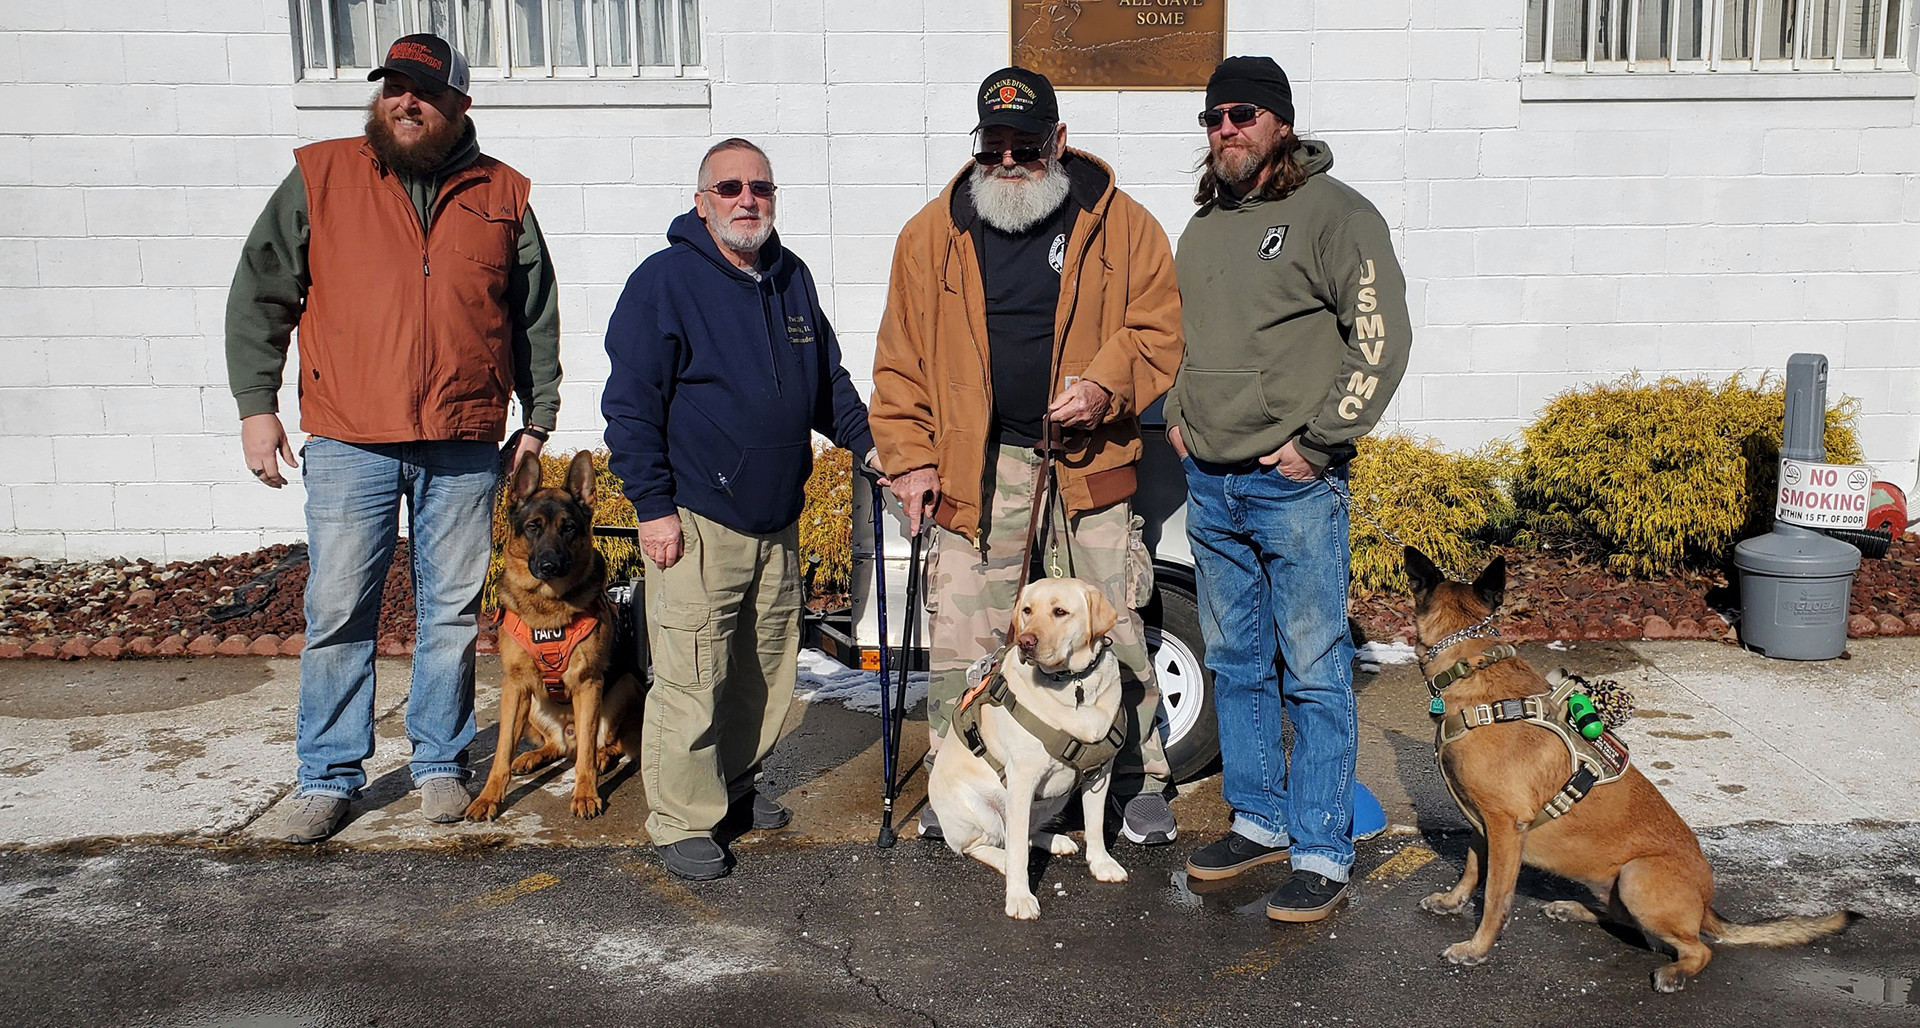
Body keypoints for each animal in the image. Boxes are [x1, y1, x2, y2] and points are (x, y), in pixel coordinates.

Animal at [466, 449, 641, 822]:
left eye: (568, 528)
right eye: (533, 528)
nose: (549, 566)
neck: (547, 607)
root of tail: (567, 731)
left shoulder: (588, 682)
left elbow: (585, 757)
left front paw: (586, 794)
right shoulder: (514, 685)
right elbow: (501, 752)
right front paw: (489, 797)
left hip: (624, 687)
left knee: (599, 744)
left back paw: (603, 755)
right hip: (532, 703)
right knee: (557, 746)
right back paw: (533, 755)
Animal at [925, 580, 1121, 926]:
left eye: (1060, 612)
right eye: (1027, 610)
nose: (1025, 641)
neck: (1073, 682)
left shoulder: (1099, 771)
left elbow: (1096, 824)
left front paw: (1101, 863)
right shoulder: (1022, 779)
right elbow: (1017, 852)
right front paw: (1019, 897)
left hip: (1053, 798)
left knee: (1026, 831)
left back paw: (1055, 840)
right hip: (979, 809)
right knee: (988, 843)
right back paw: (1003, 859)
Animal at [1405, 545, 1850, 991]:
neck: (1472, 669)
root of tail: (1706, 904)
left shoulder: (1505, 826)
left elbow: (1496, 898)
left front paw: (1476, 948)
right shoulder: (1482, 824)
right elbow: (1471, 868)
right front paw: (1453, 901)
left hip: (1638, 877)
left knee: (1697, 949)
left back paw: (1674, 971)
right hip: (1619, 887)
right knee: (1623, 923)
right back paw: (1573, 909)